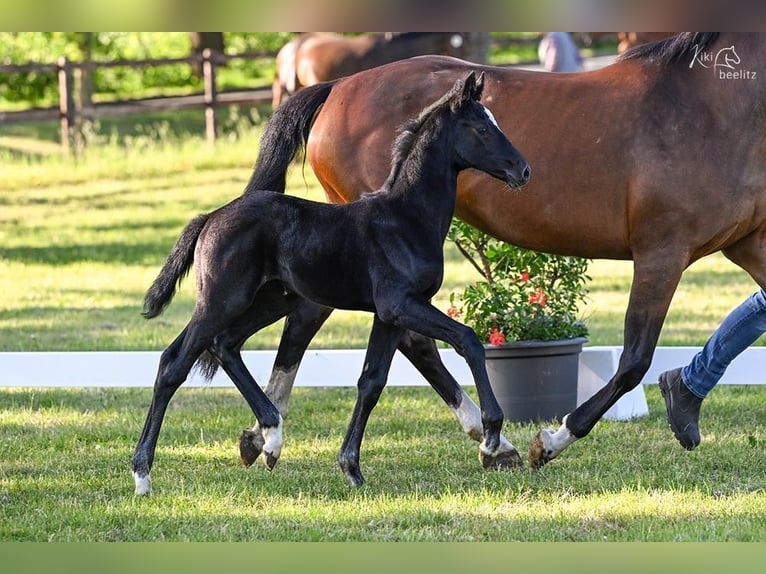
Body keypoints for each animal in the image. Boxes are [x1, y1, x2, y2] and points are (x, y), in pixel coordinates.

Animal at [132, 73, 532, 496]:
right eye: (482, 128)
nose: (523, 170)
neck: (405, 219)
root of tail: (210, 217)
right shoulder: (401, 305)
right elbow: (468, 340)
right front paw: (491, 436)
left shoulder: (391, 315)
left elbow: (371, 381)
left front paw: (351, 467)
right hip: (222, 301)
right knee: (174, 365)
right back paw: (143, 474)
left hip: (269, 301)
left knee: (222, 345)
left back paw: (271, 438)